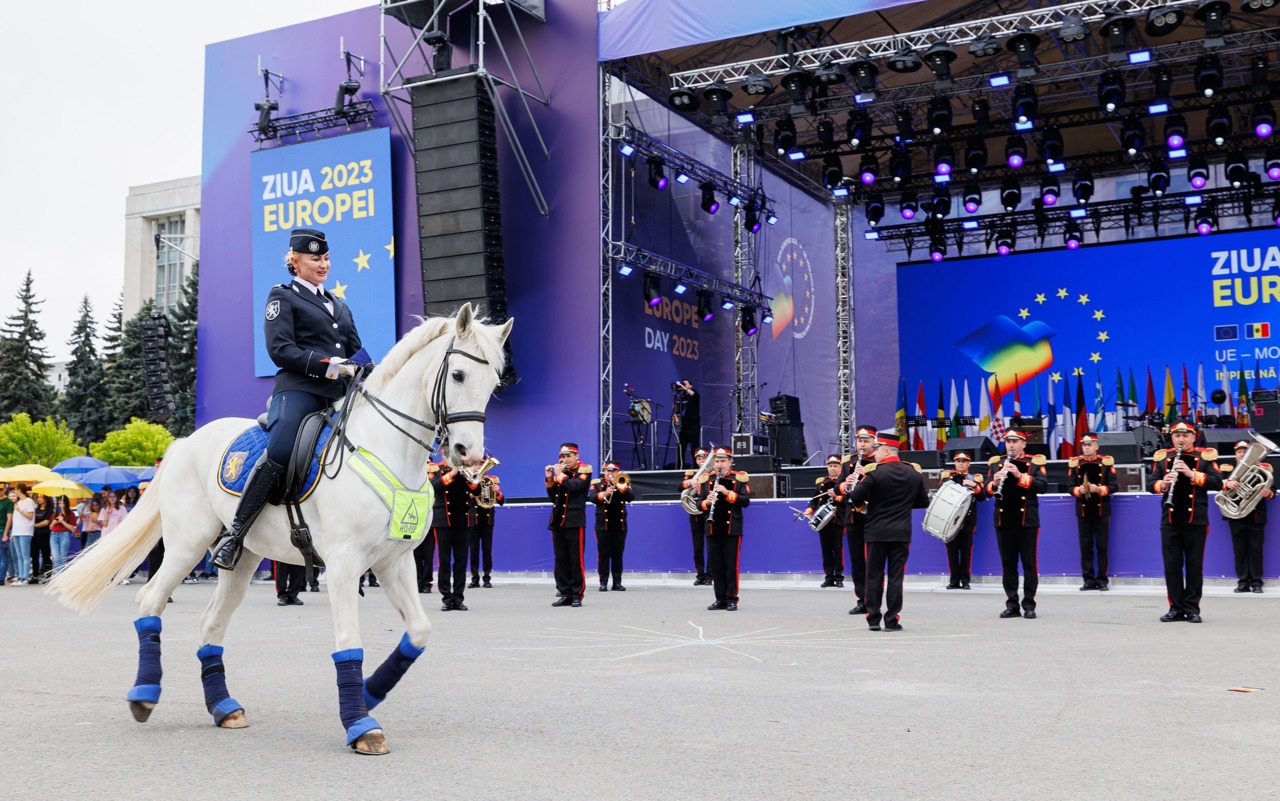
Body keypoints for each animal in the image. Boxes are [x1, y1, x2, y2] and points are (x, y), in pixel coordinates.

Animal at [49, 301, 509, 752]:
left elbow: (419, 631)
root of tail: (184, 443)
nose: (470, 454)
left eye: (494, 383)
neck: (385, 450)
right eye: (458, 374)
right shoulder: (344, 563)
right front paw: (361, 724)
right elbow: (348, 641)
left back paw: (224, 707)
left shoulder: (395, 562)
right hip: (186, 545)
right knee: (150, 601)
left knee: (211, 623)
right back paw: (144, 695)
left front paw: (371, 691)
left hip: (244, 557)